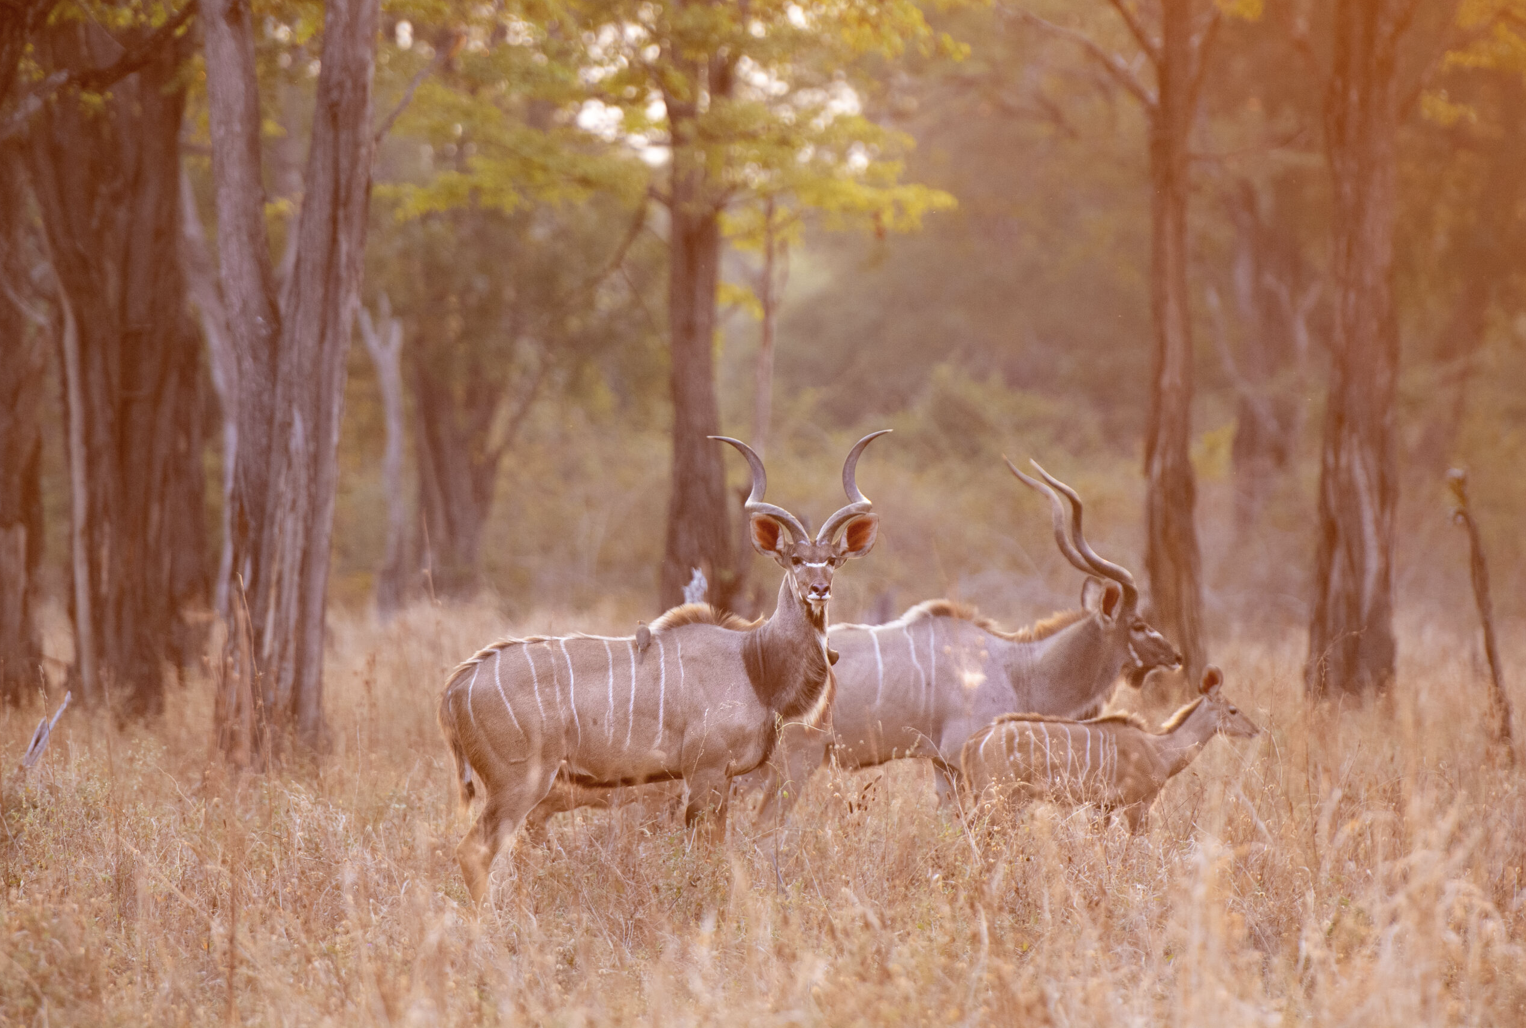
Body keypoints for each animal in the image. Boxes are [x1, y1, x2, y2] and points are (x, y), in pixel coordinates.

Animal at [437, 432, 886, 902]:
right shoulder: (705, 772)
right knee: (474, 851)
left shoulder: (722, 778)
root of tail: (456, 687)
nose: (819, 588)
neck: (754, 663)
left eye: (832, 560)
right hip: (519, 783)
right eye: (796, 559)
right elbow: (705, 852)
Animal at [960, 665, 1260, 833]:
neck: (1160, 749)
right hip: (996, 797)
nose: (1255, 730)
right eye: (1233, 710)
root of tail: (974, 741)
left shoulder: (1103, 806)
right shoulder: (1138, 804)